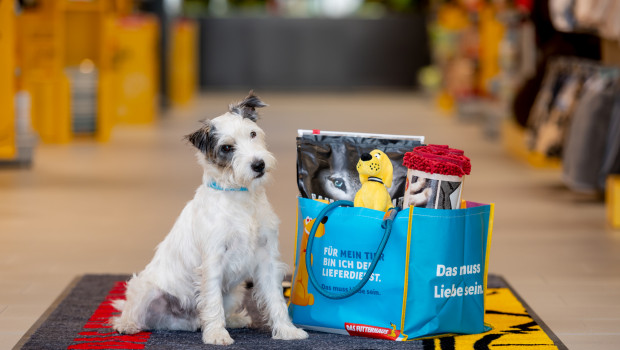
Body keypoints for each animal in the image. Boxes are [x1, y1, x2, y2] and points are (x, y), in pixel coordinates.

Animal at [110, 92, 308, 344]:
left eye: (252, 134)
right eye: (227, 147)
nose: (259, 165)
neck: (240, 196)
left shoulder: (267, 259)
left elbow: (276, 299)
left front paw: (286, 329)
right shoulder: (213, 261)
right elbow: (212, 301)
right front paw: (216, 334)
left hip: (235, 290)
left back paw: (233, 319)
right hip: (146, 290)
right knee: (132, 313)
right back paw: (126, 325)